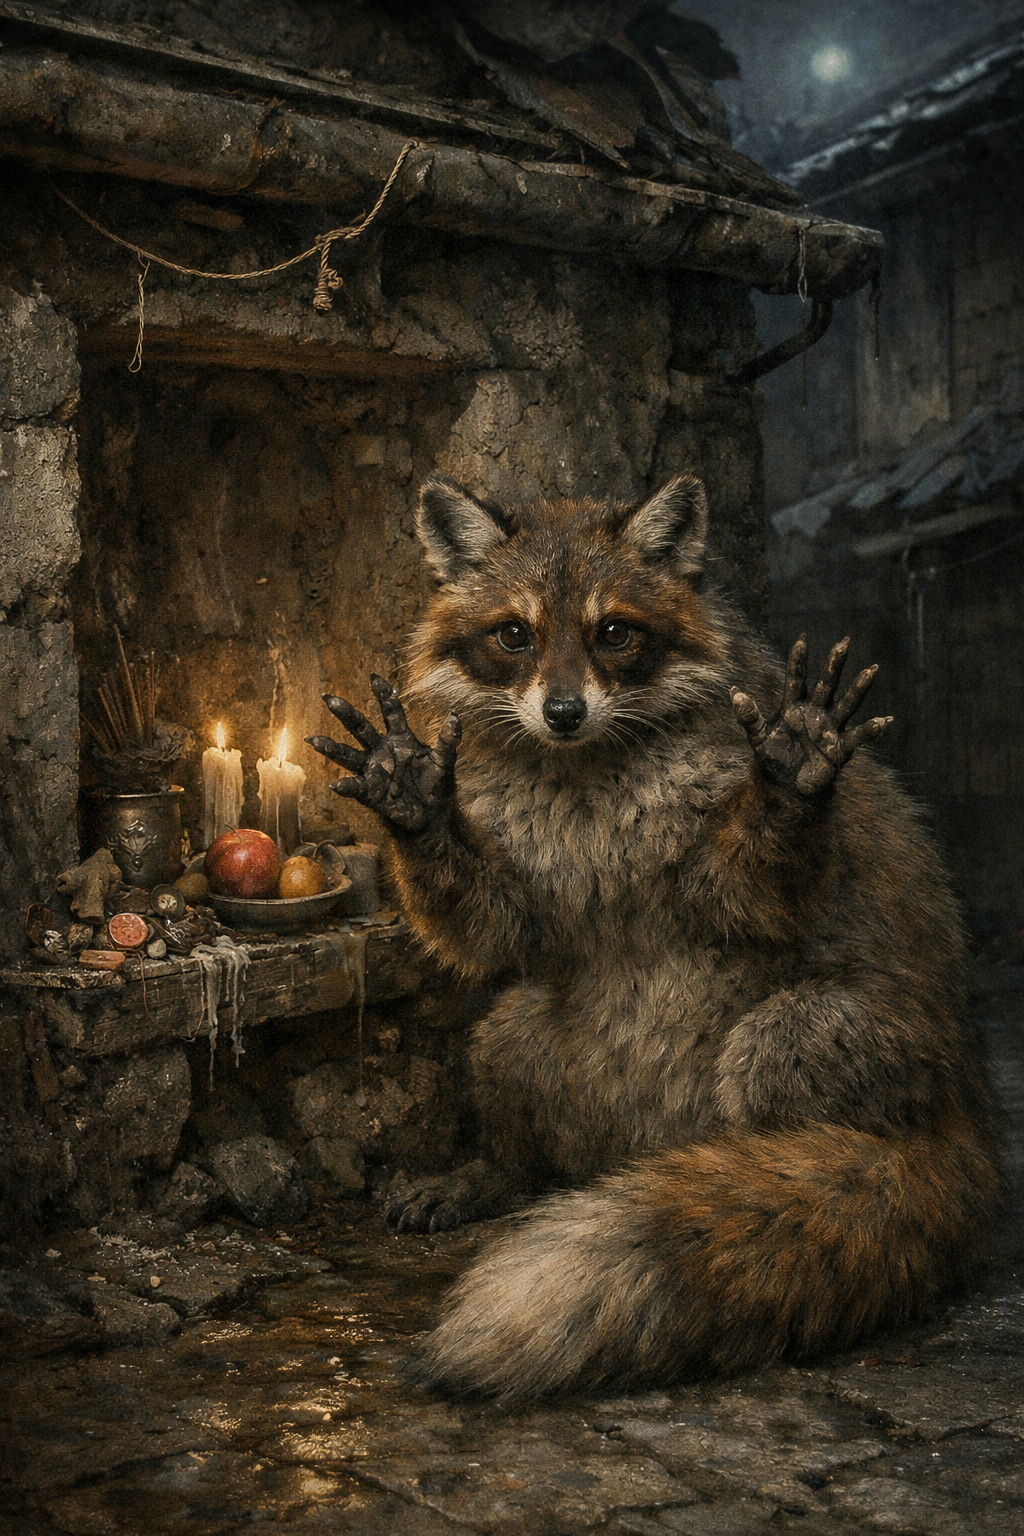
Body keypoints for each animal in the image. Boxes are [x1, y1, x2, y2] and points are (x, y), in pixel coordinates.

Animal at [308, 471, 1000, 1405]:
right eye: (515, 635)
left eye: (613, 633)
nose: (563, 712)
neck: (585, 775)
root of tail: (970, 1126)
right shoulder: (516, 883)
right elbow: (487, 921)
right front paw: (411, 804)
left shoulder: (731, 866)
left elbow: (761, 881)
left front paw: (792, 781)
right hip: (521, 1038)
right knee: (514, 1073)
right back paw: (497, 1172)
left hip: (802, 1037)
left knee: (798, 1094)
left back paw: (769, 1176)